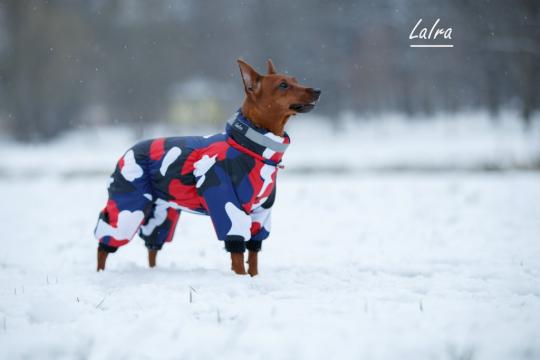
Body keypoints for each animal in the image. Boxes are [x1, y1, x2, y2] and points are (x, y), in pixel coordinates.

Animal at [94, 59, 320, 276]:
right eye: (283, 85)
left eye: (295, 79)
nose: (317, 90)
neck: (249, 146)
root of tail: (129, 150)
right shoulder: (228, 207)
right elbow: (238, 256)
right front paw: (240, 279)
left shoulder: (260, 213)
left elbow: (254, 256)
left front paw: (254, 279)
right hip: (128, 207)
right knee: (104, 244)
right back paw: (100, 273)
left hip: (162, 213)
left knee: (152, 245)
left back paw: (153, 272)